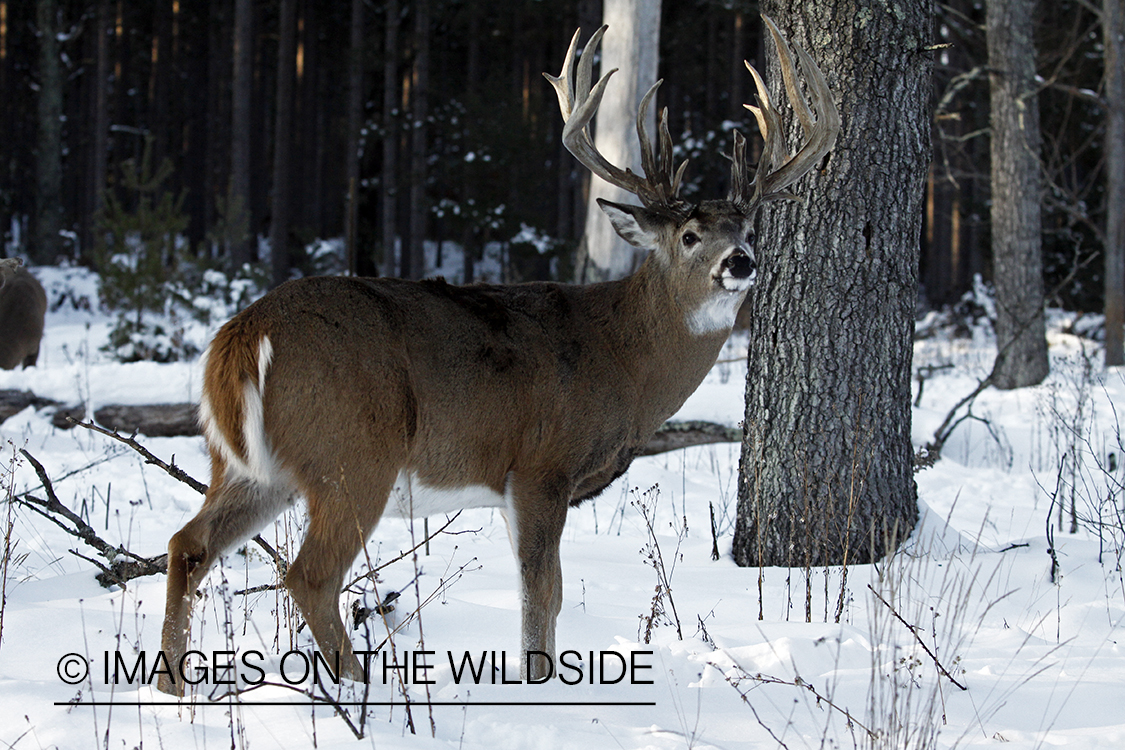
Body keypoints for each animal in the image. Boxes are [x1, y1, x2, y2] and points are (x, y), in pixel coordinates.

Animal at [156, 16, 837, 697]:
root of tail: (244, 333)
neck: (622, 357)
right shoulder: (541, 465)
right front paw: (538, 687)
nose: (740, 262)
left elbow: (547, 595)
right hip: (352, 452)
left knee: (188, 543)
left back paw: (173, 687)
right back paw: (359, 690)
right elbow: (542, 596)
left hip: (248, 465)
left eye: (748, 230)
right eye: (691, 236)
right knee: (309, 575)